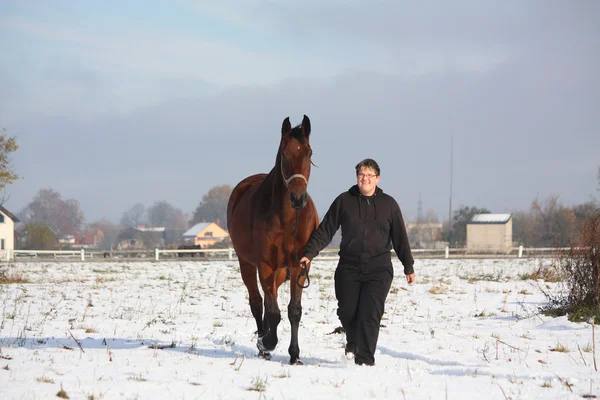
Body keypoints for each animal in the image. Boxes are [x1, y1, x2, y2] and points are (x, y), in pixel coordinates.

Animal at [226, 114, 318, 364]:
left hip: (279, 271)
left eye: (309, 153)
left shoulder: (299, 265)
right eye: (284, 154)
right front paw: (267, 342)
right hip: (247, 264)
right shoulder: (265, 264)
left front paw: (294, 355)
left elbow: (294, 311)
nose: (298, 198)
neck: (286, 219)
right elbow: (273, 311)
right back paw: (263, 345)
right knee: (258, 303)